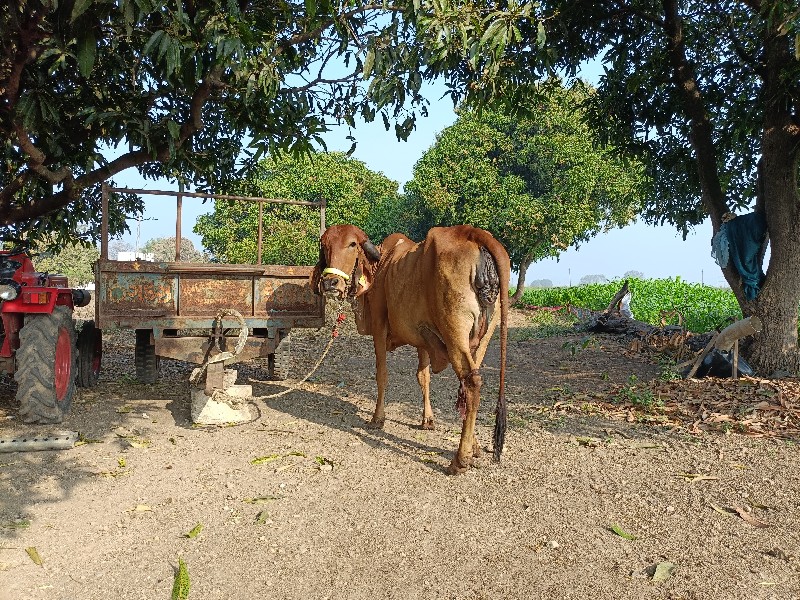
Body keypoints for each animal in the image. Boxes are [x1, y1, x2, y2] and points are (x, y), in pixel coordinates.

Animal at [310, 223, 510, 476]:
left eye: (352, 244)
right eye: (324, 245)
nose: (330, 283)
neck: (380, 266)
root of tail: (474, 233)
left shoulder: (379, 326)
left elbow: (382, 374)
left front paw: (377, 418)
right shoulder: (424, 338)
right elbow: (423, 377)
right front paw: (428, 420)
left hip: (454, 332)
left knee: (471, 383)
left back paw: (459, 460)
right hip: (481, 339)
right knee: (470, 384)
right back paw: (471, 447)